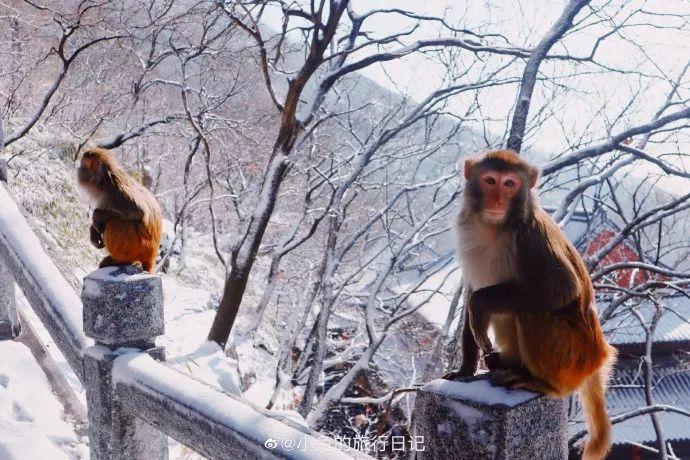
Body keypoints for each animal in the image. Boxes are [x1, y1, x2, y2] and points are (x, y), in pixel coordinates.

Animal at [76, 146, 161, 274]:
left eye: (83, 165)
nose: (78, 169)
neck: (104, 181)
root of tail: (152, 256)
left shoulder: (116, 191)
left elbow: (139, 212)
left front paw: (97, 216)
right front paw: (93, 232)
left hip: (140, 248)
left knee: (115, 223)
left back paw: (121, 260)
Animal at [444, 149, 616, 458]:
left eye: (510, 184)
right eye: (490, 181)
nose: (497, 200)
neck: (494, 227)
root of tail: (599, 355)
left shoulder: (532, 237)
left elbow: (562, 289)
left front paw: (479, 302)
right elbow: (470, 299)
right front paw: (465, 370)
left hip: (572, 358)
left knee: (532, 310)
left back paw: (543, 383)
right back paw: (504, 363)